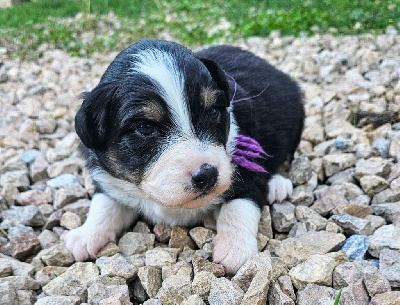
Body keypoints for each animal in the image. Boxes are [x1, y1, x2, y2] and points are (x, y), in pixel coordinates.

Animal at [65, 38, 304, 274]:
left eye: (213, 111)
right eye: (145, 128)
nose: (208, 175)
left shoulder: (245, 168)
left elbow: (239, 205)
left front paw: (235, 248)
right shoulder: (110, 178)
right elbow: (104, 204)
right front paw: (85, 235)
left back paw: (277, 184)